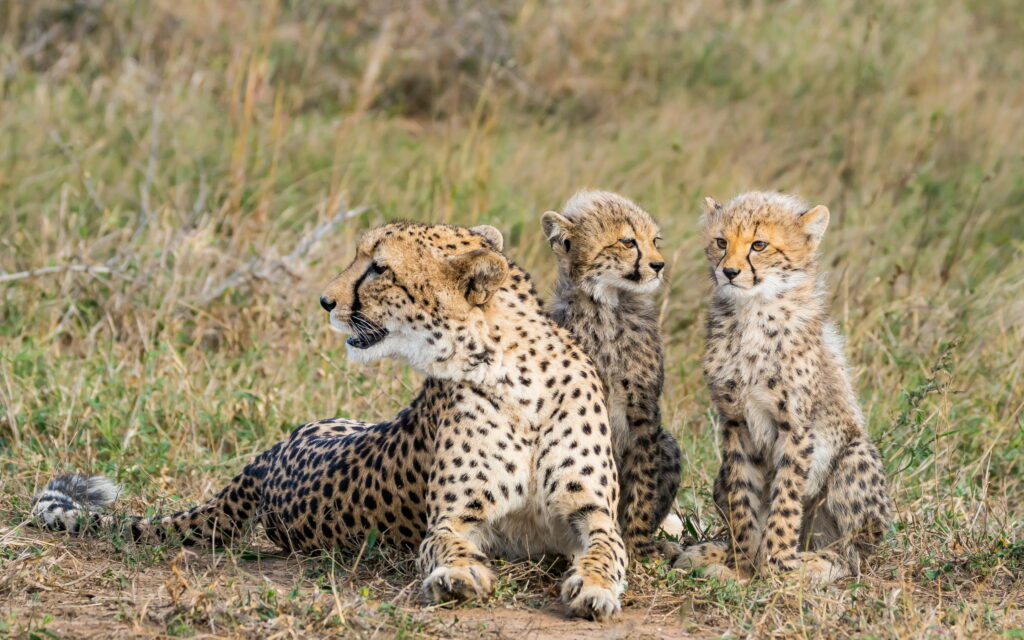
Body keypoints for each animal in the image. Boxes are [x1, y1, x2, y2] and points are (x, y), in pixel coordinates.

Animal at [32, 221, 627, 621]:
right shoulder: (453, 517)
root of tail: (267, 456)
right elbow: (449, 544)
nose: (324, 300)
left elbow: (606, 549)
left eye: (379, 268)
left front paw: (594, 587)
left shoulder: (591, 509)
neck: (511, 369)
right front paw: (458, 575)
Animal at [542, 190, 683, 559]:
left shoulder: (643, 409)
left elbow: (642, 484)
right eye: (628, 242)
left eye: (655, 241)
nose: (659, 265)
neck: (605, 307)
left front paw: (639, 548)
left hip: (669, 444)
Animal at [674, 191, 894, 584]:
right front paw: (742, 566)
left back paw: (813, 564)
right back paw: (709, 553)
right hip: (719, 477)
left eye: (759, 245)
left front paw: (776, 567)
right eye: (721, 242)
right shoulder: (735, 422)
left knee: (851, 555)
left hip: (854, 457)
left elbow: (786, 501)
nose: (729, 272)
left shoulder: (797, 426)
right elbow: (743, 501)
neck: (753, 312)